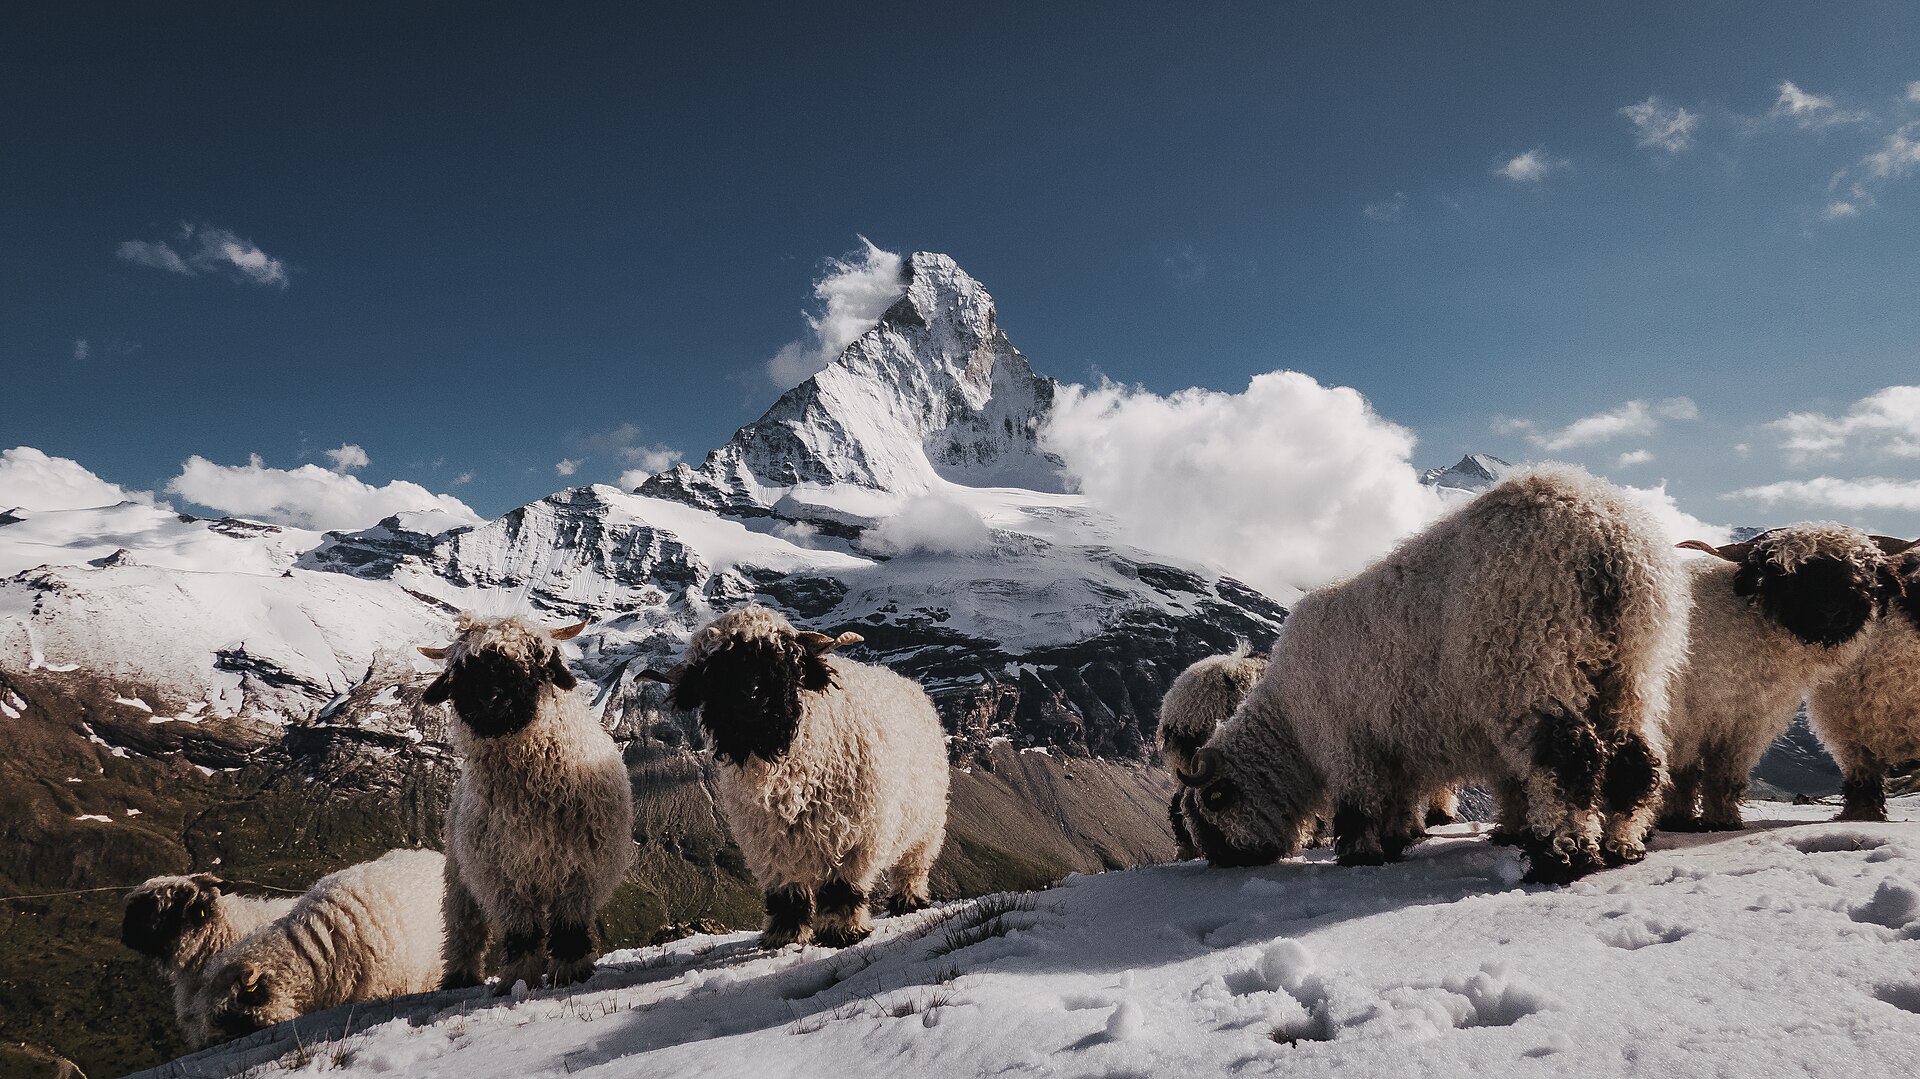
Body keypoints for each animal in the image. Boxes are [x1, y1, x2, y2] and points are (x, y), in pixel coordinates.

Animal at [419, 613, 633, 992]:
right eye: (463, 671)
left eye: (534, 661)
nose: (491, 700)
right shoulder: (502, 877)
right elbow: (522, 933)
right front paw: (520, 979)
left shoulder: (584, 871)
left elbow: (568, 927)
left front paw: (570, 971)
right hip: (460, 873)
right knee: (464, 928)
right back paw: (460, 978)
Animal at [640, 606, 949, 949]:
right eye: (713, 672)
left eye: (783, 659)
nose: (748, 697)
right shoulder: (769, 843)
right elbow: (787, 894)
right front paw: (785, 935)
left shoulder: (854, 835)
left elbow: (842, 889)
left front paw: (842, 932)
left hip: (926, 826)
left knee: (913, 866)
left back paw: (908, 901)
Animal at [1176, 466, 1688, 884]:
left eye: (1213, 808)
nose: (1222, 864)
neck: (1289, 721)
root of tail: (1602, 532)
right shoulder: (1394, 741)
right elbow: (1401, 796)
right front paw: (1399, 838)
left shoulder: (1346, 741)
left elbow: (1358, 804)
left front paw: (1361, 855)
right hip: (1633, 667)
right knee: (1636, 759)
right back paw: (1621, 846)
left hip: (1531, 661)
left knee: (1567, 758)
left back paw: (1563, 857)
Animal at [1660, 525, 1900, 831]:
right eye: (1785, 573)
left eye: (1865, 571)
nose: (1831, 611)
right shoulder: (1712, 717)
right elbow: (1696, 773)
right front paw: (1710, 820)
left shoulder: (1738, 719)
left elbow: (1708, 774)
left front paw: (1695, 819)